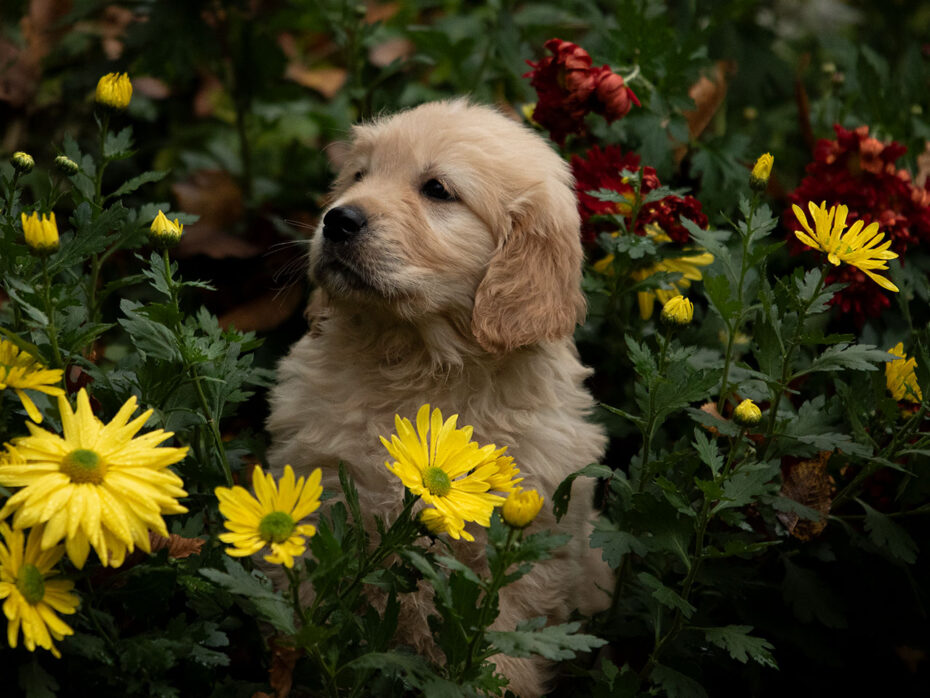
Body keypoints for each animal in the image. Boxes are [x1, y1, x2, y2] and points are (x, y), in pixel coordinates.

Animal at [264, 100, 608, 692]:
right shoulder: (324, 495)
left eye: (438, 190)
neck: (420, 365)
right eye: (359, 176)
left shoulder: (525, 548)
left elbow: (501, 639)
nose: (337, 219)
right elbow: (311, 598)